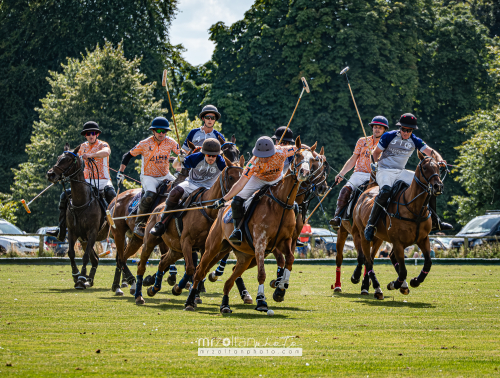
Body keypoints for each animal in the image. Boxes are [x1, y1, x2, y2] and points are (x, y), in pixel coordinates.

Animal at [135, 155, 246, 306]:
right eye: (230, 177)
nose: (240, 199)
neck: (207, 209)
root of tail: (158, 207)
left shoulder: (204, 247)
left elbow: (199, 270)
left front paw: (188, 293)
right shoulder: (187, 241)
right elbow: (191, 268)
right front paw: (180, 289)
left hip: (175, 249)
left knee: (163, 261)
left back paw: (154, 288)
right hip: (150, 242)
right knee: (142, 265)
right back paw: (138, 296)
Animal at [186, 137, 314, 314]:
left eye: (313, 160)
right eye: (297, 156)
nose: (304, 173)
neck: (281, 203)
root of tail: (223, 207)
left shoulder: (285, 241)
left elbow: (290, 259)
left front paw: (281, 289)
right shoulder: (261, 242)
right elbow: (262, 274)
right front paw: (262, 301)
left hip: (242, 256)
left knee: (229, 278)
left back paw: (225, 305)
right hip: (213, 247)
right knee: (199, 271)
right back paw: (190, 301)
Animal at [350, 151, 444, 298]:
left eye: (438, 168)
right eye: (424, 168)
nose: (438, 186)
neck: (414, 210)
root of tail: (366, 191)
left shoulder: (423, 239)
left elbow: (428, 262)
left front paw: (415, 281)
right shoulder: (398, 242)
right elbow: (403, 270)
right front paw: (394, 284)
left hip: (380, 238)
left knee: (377, 258)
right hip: (363, 235)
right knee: (368, 261)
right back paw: (376, 288)